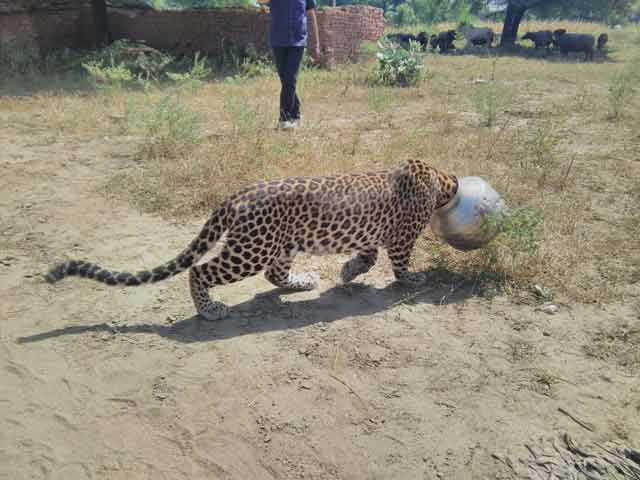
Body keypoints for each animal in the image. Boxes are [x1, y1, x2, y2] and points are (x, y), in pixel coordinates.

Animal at [48, 159, 460, 320]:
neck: (438, 178)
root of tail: (235, 196)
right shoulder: (402, 238)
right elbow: (400, 264)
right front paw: (414, 278)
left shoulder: (372, 234)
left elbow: (368, 255)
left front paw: (346, 271)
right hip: (251, 249)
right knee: (199, 270)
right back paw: (209, 309)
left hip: (280, 244)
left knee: (274, 275)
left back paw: (303, 282)